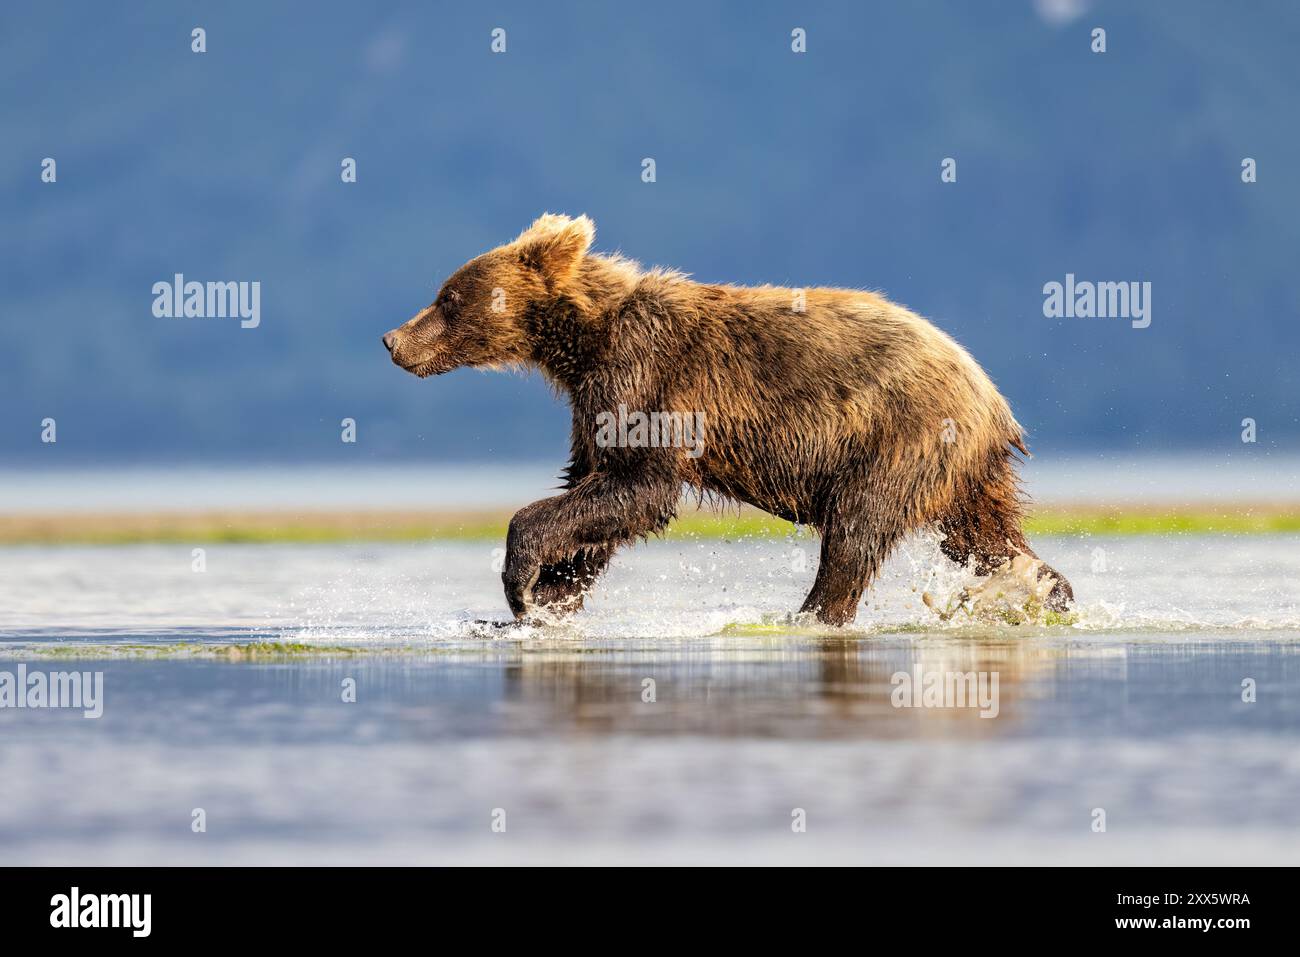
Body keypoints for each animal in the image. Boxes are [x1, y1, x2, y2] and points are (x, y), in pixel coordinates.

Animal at [383, 213, 1074, 626]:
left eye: (447, 299)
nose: (393, 340)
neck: (585, 341)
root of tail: (992, 399)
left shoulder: (648, 379)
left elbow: (637, 490)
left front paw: (522, 582)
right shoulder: (597, 403)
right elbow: (596, 496)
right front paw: (548, 598)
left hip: (901, 435)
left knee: (856, 531)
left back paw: (809, 613)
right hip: (962, 470)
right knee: (984, 538)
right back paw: (1046, 589)